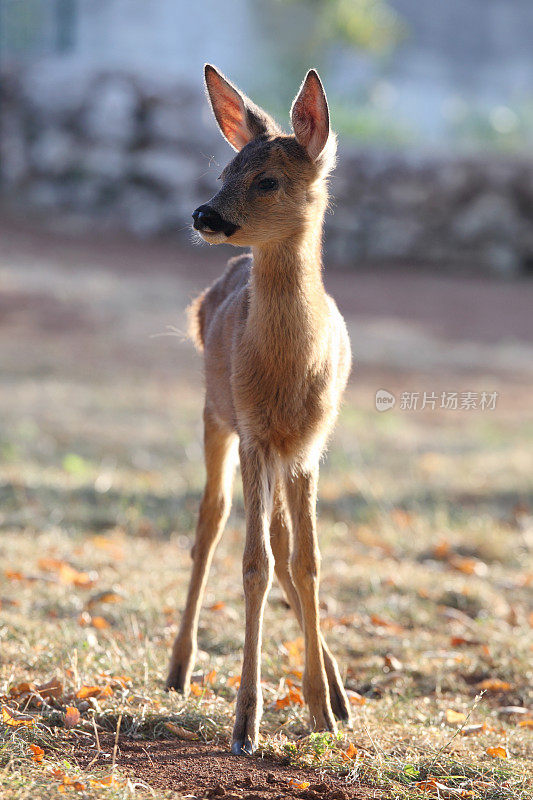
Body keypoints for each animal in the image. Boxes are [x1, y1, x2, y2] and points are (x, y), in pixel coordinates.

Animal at [165, 64, 350, 756]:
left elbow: (307, 562)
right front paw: (246, 723)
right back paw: (177, 670)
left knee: (279, 539)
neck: (288, 374)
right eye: (224, 170)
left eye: (268, 179)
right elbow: (254, 566)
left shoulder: (309, 444)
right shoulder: (253, 432)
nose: (204, 213)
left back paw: (339, 694)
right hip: (215, 415)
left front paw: (323, 711)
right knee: (210, 523)